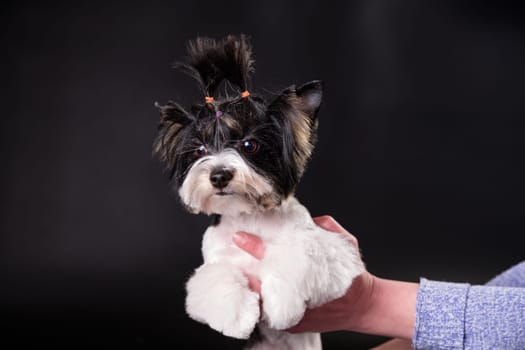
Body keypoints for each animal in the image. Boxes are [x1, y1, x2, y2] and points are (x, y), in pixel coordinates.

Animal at [154, 36, 362, 350]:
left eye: (249, 145)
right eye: (200, 150)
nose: (219, 175)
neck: (249, 215)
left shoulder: (333, 251)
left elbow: (301, 252)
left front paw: (283, 306)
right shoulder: (214, 260)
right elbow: (216, 277)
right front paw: (238, 317)